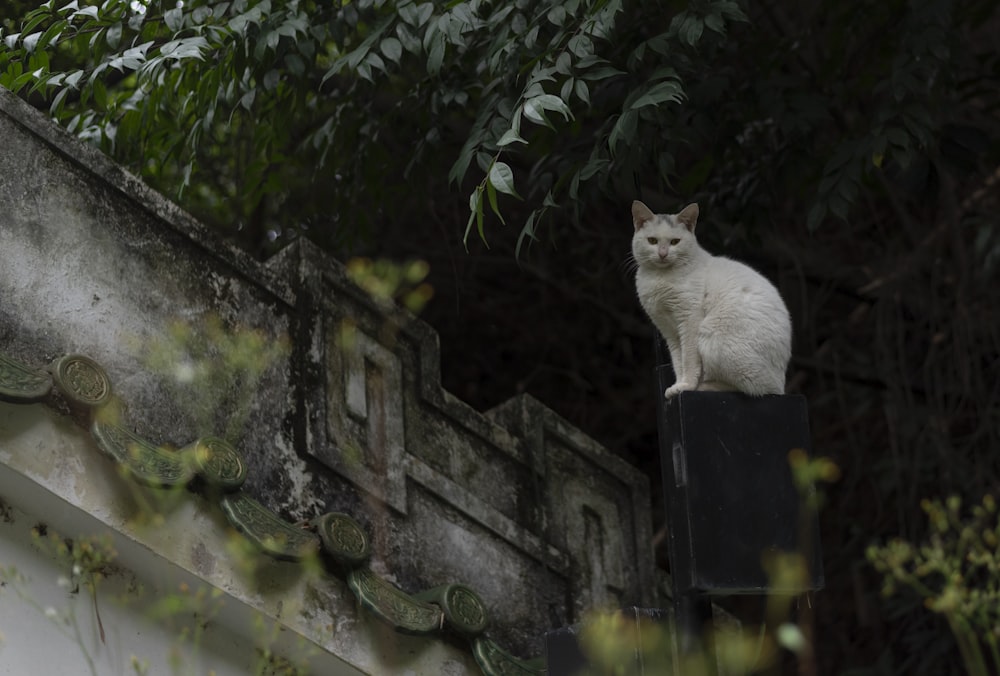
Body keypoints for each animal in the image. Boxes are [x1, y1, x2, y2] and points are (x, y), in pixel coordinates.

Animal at [632, 198, 788, 398]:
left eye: (675, 242)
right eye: (652, 241)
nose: (663, 254)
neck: (660, 278)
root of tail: (782, 381)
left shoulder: (689, 321)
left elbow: (689, 360)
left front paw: (687, 386)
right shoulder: (669, 331)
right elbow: (678, 361)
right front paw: (678, 385)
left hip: (713, 337)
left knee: (755, 387)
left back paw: (704, 387)